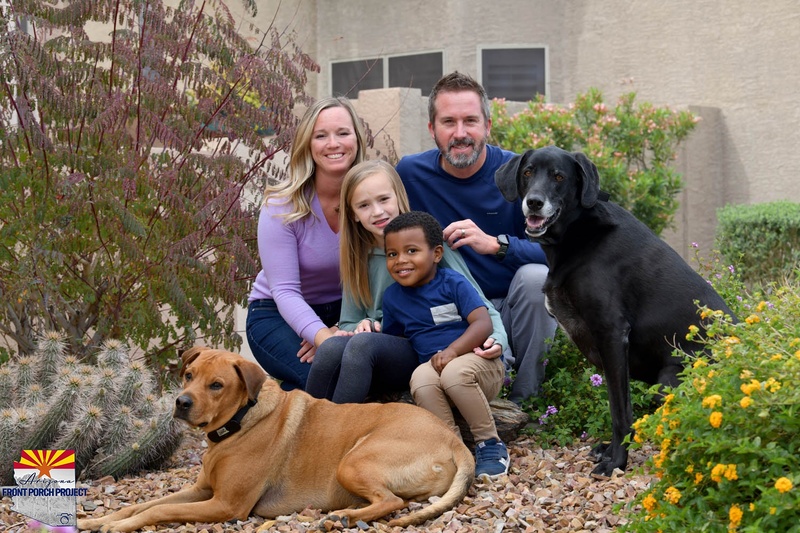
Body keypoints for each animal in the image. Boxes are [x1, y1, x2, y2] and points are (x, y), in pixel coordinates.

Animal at [77, 344, 472, 528]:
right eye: (188, 375)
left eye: (216, 385)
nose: (181, 402)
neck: (238, 423)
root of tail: (453, 439)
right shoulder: (201, 491)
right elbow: (140, 505)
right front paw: (98, 520)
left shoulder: (226, 505)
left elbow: (155, 512)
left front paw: (119, 527)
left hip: (353, 462)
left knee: (393, 501)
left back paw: (343, 516)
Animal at [494, 147, 736, 478]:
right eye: (528, 172)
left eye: (559, 177)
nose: (534, 202)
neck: (578, 231)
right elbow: (615, 407)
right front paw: (609, 451)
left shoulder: (611, 334)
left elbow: (621, 411)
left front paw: (617, 461)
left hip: (668, 380)